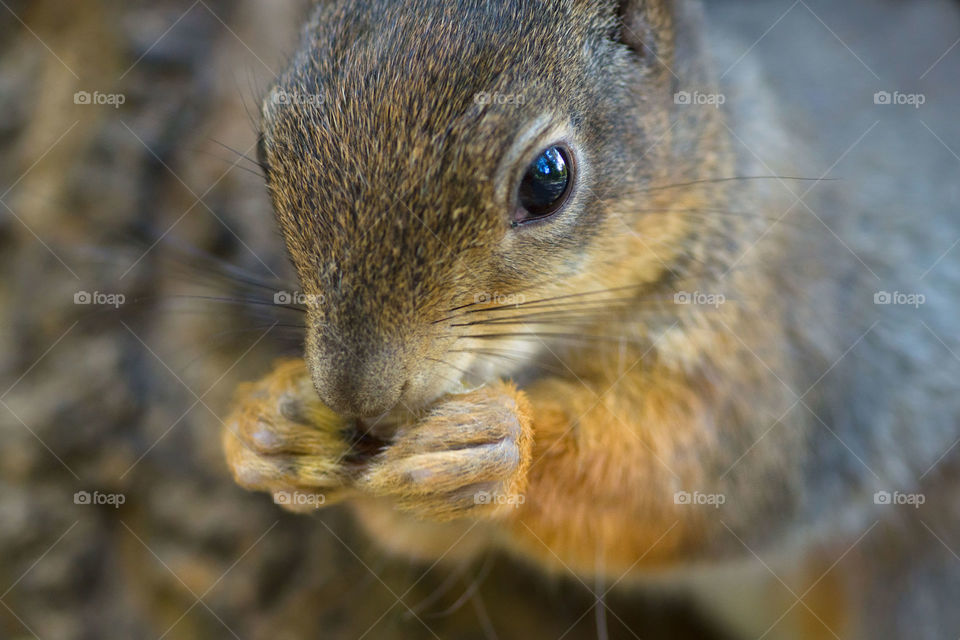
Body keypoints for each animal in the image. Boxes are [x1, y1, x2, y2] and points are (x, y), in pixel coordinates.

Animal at [222, 1, 960, 638]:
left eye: (548, 178)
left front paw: (499, 447)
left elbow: (700, 466)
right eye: (263, 148)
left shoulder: (791, 338)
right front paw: (269, 425)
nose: (356, 393)